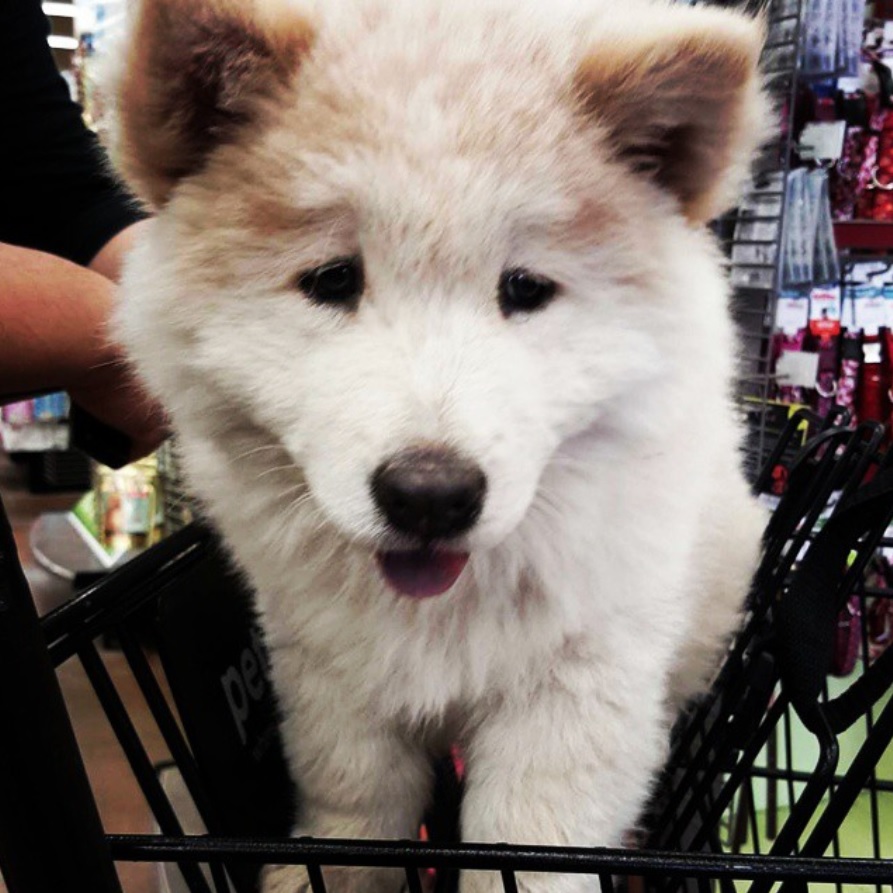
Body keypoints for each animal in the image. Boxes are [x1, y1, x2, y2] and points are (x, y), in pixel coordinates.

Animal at [110, 1, 768, 892]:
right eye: (331, 280)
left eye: (525, 289)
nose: (430, 494)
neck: (445, 609)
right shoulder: (331, 675)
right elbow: (353, 810)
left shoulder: (577, 688)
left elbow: (524, 848)